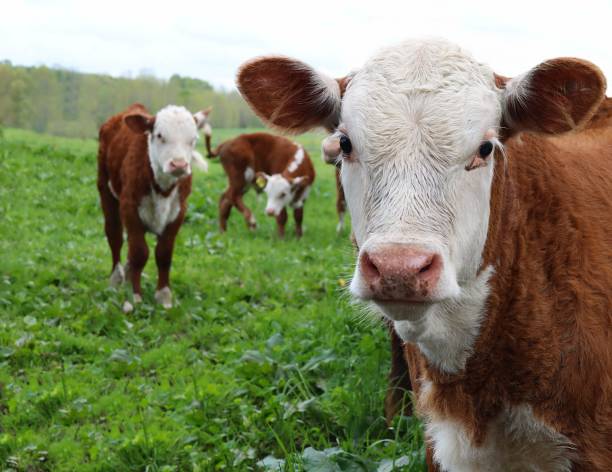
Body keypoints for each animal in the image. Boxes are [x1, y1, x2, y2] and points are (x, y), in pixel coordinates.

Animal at [96, 101, 210, 312]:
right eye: (159, 135)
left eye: (193, 139)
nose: (179, 164)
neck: (162, 187)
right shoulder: (129, 207)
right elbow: (139, 252)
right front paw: (134, 296)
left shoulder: (178, 212)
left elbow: (164, 254)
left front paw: (163, 296)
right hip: (105, 189)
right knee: (114, 235)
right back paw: (116, 279)